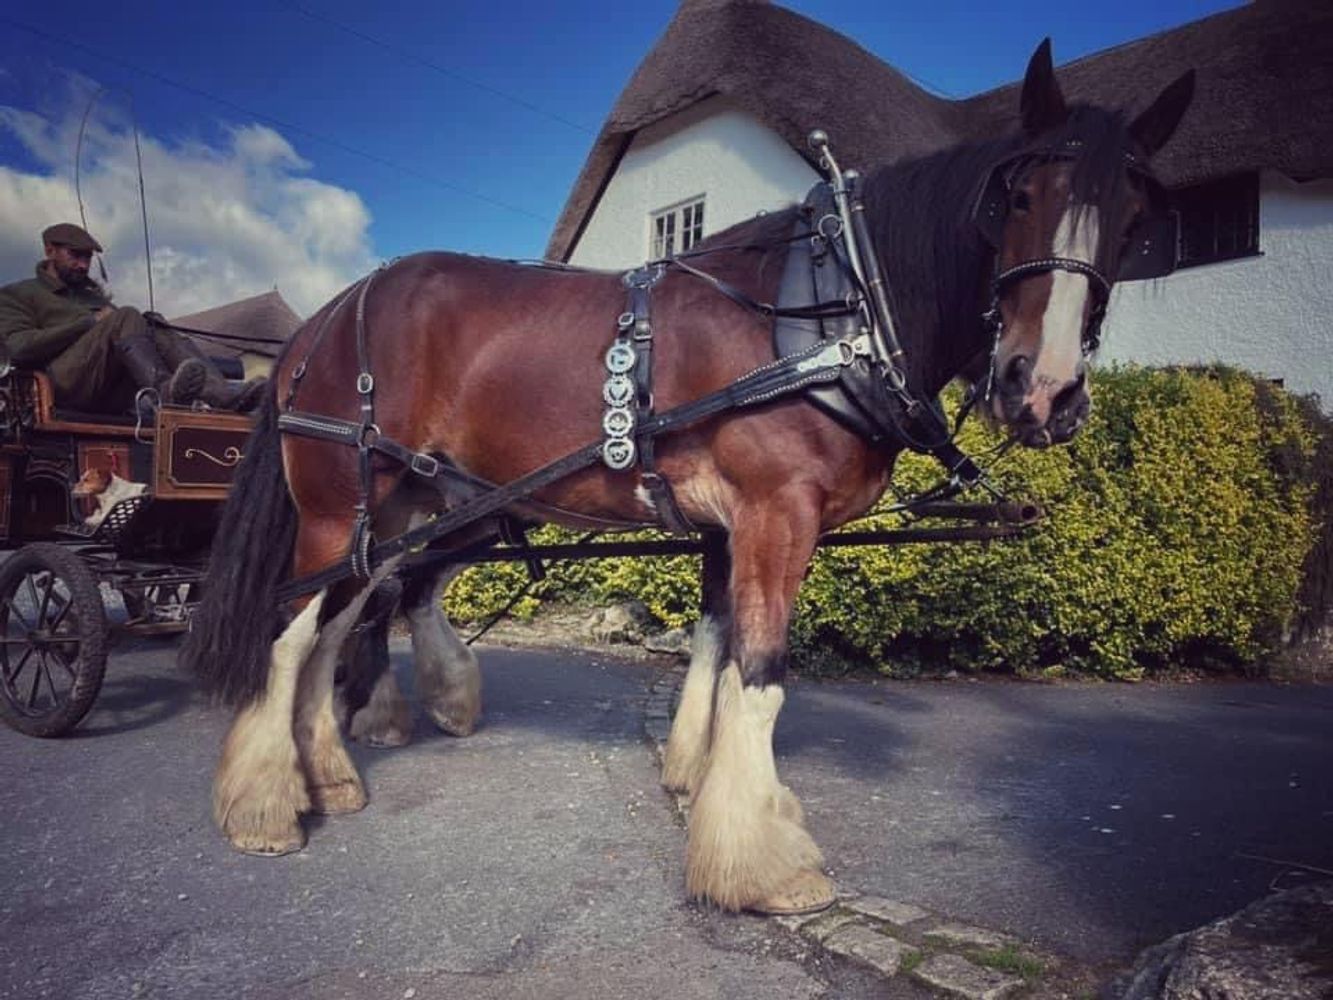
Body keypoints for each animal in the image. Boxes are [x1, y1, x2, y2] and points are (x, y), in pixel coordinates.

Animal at [181, 39, 1193, 916]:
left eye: (1136, 221)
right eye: (1015, 197)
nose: (1043, 388)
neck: (832, 310)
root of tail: (326, 317)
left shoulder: (725, 527)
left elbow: (714, 648)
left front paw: (702, 785)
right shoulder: (777, 514)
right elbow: (763, 669)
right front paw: (762, 863)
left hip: (396, 515)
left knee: (343, 624)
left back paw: (328, 774)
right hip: (338, 508)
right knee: (291, 634)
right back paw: (264, 806)